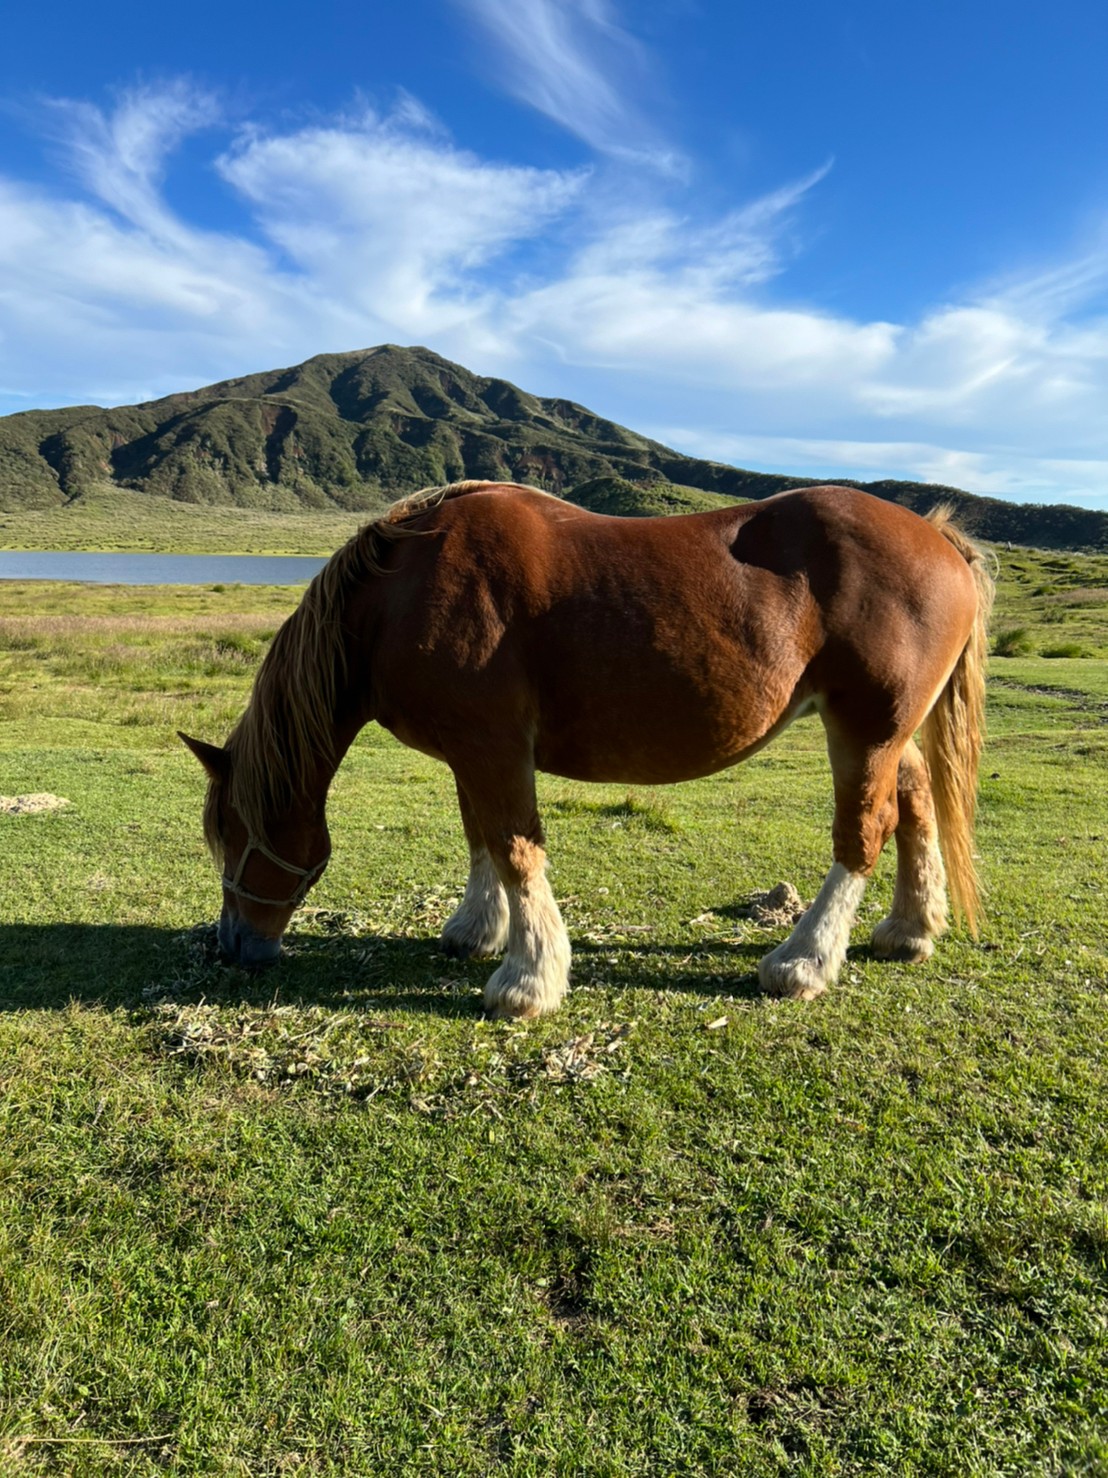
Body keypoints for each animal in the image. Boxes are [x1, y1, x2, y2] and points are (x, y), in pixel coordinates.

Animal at [182, 478, 998, 1010]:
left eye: (236, 836)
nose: (234, 946)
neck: (404, 590)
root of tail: (938, 538)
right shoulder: (472, 753)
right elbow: (481, 838)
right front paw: (479, 930)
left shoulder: (493, 746)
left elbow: (514, 848)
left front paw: (528, 979)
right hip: (885, 732)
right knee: (915, 801)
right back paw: (909, 930)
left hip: (864, 728)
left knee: (864, 832)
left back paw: (803, 961)